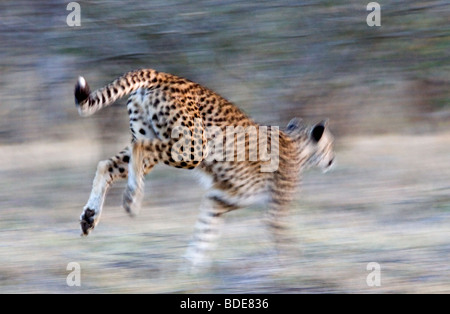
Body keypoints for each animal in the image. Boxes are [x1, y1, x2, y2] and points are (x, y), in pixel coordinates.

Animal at [74, 68, 334, 264]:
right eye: (330, 145)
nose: (332, 160)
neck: (298, 145)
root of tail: (163, 74)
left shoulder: (218, 200)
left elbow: (204, 235)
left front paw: (188, 272)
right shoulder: (274, 210)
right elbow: (283, 237)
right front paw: (295, 267)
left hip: (155, 137)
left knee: (106, 164)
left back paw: (90, 216)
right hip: (193, 148)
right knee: (140, 149)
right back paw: (132, 198)